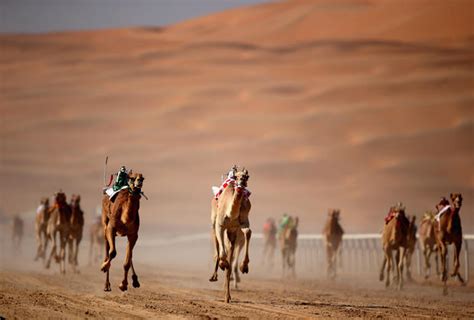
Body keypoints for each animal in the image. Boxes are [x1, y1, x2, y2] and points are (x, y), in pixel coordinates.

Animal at [208, 169, 250, 304]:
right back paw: (214, 275)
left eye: (247, 176)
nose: (242, 181)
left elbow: (248, 232)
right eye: (236, 177)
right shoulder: (220, 225)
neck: (230, 213)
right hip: (214, 223)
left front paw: (244, 266)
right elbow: (221, 252)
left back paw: (228, 297)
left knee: (230, 262)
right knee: (217, 245)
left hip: (232, 234)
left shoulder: (241, 224)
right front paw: (222, 263)